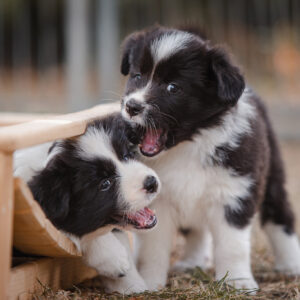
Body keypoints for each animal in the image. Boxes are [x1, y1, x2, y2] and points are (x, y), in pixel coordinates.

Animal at [13, 112, 162, 292]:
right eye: (105, 183)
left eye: (126, 156)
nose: (151, 183)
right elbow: (74, 230)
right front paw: (115, 259)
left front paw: (133, 285)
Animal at [119, 25, 300, 290]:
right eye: (137, 76)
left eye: (173, 87)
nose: (131, 106)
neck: (189, 145)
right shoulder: (157, 200)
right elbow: (152, 248)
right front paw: (150, 282)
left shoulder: (234, 192)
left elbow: (232, 246)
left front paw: (238, 283)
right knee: (196, 230)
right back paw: (193, 262)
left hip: (272, 174)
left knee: (279, 215)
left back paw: (291, 264)